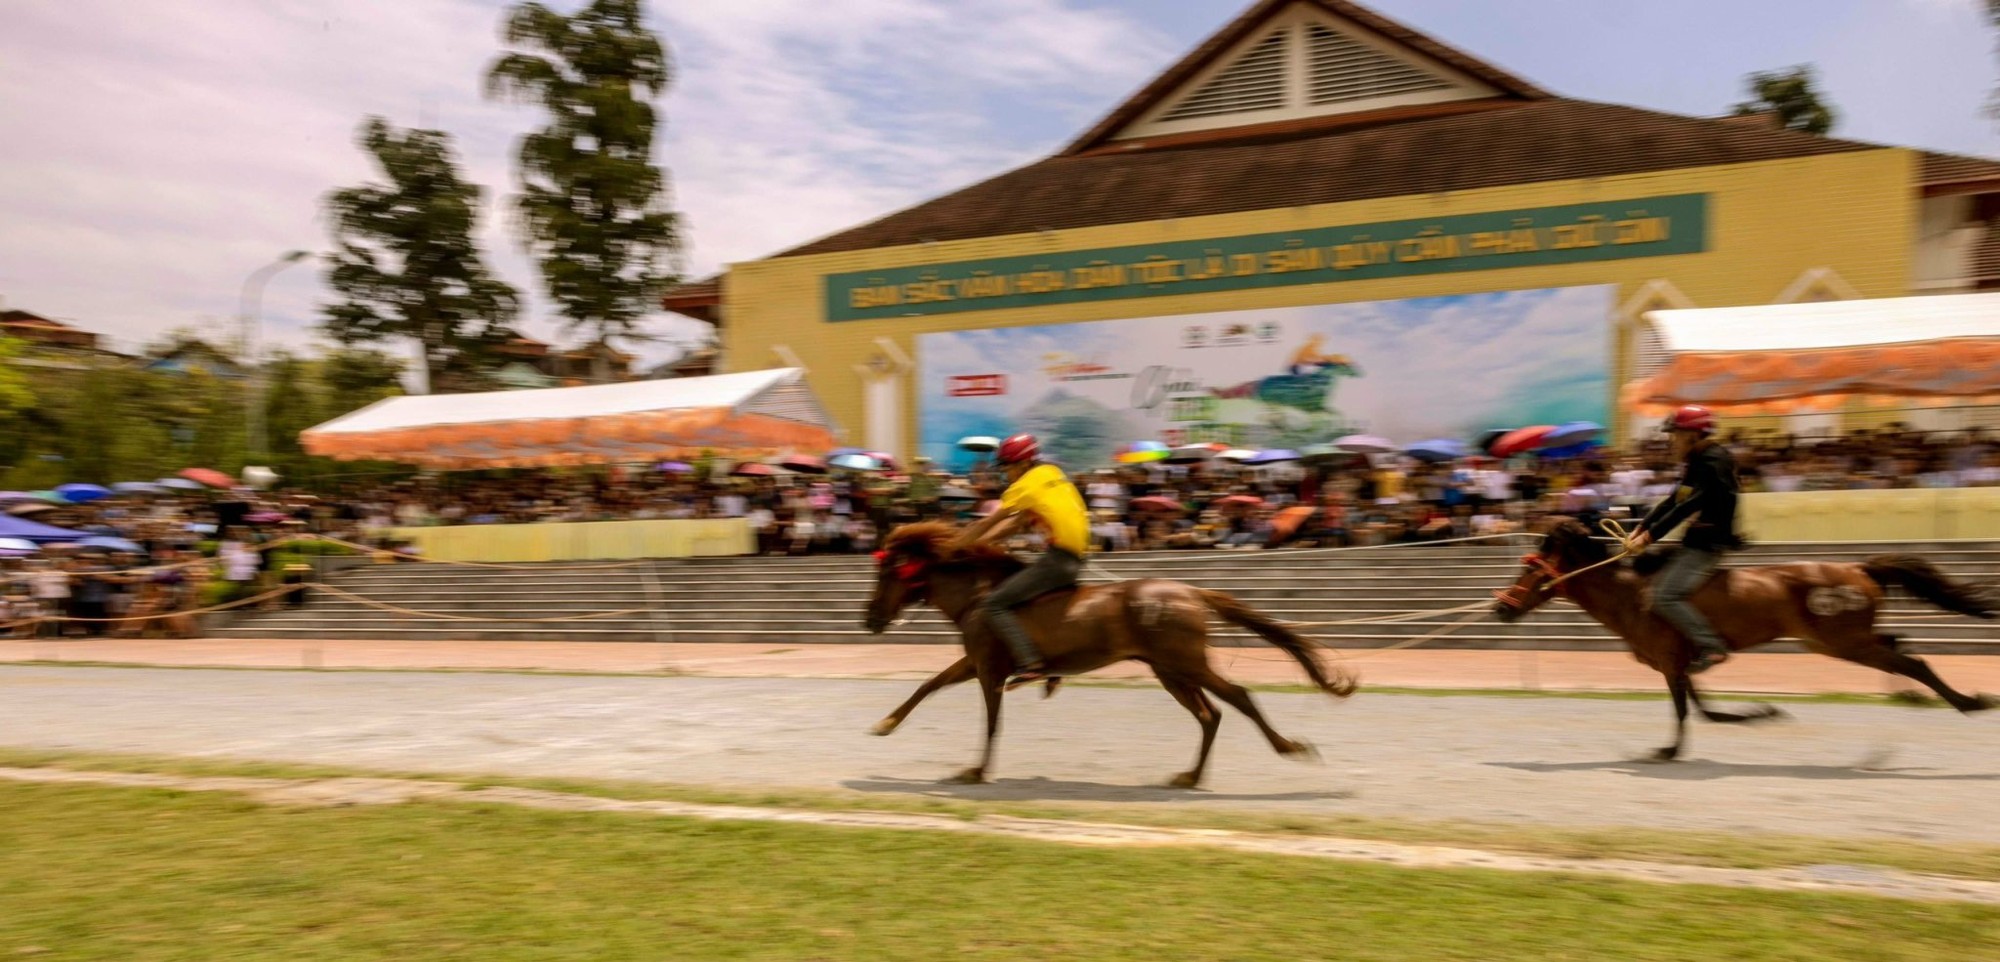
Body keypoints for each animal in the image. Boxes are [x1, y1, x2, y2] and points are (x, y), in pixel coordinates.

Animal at [860, 520, 1360, 784]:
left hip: (1184, 663)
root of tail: (1191, 592)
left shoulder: (989, 668)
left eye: (886, 575)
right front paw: (886, 723)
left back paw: (1287, 746)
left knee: (1237, 696)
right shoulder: (977, 662)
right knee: (1210, 714)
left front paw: (977, 770)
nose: (870, 619)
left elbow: (991, 722)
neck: (980, 595)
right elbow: (929, 684)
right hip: (1169, 671)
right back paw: (1191, 775)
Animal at [1496, 516, 1992, 756]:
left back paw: (1970, 702)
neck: (1632, 594)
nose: (1501, 607)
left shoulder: (1671, 662)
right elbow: (1705, 710)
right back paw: (1917, 697)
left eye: (1530, 570)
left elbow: (1687, 711)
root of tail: (1858, 569)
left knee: (1912, 659)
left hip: (1842, 642)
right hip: (1841, 641)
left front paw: (1670, 751)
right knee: (1896, 645)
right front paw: (1761, 712)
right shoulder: (1680, 663)